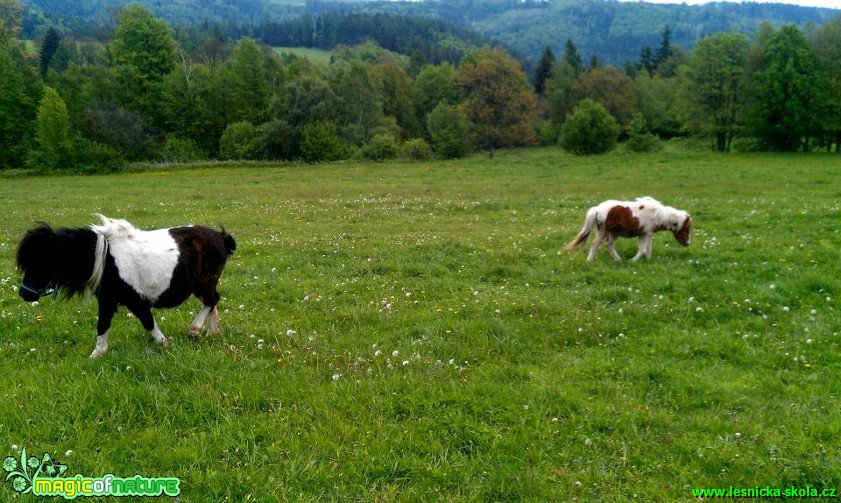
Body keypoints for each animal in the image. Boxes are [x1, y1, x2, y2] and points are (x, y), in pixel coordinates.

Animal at [14, 216, 236, 358]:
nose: (24, 294)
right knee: (213, 302)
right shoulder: (108, 299)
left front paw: (164, 344)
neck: (104, 258)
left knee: (211, 301)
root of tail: (221, 236)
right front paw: (98, 353)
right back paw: (211, 331)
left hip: (203, 282)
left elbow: (147, 322)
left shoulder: (134, 299)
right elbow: (103, 324)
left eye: (40, 261)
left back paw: (194, 330)